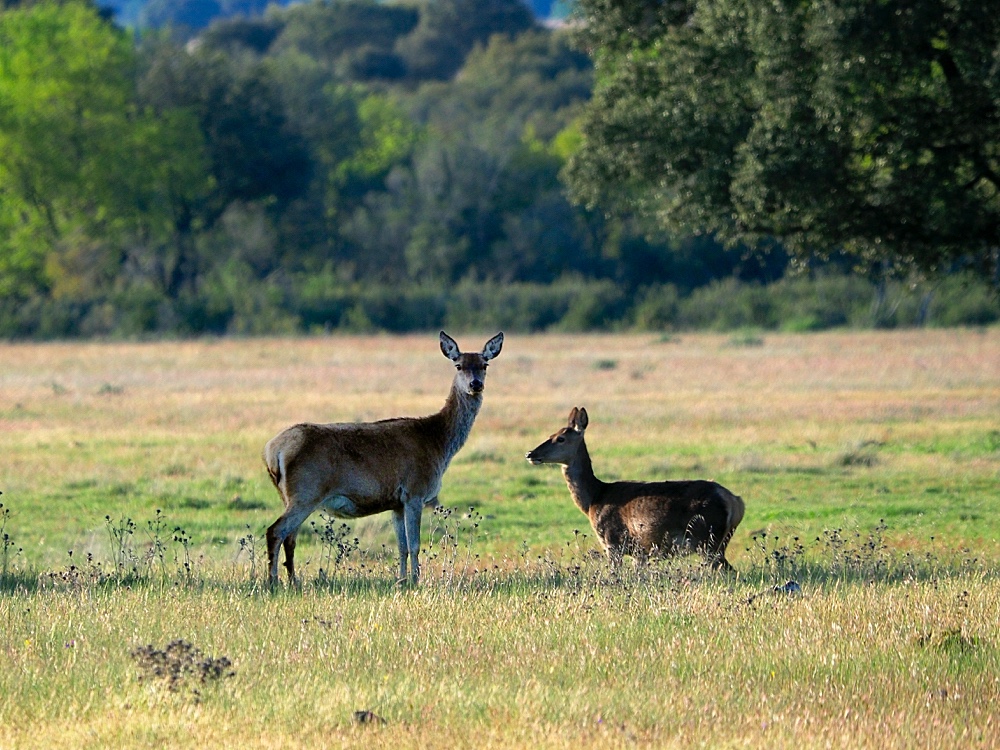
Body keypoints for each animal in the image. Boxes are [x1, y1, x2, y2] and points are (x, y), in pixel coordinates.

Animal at [262, 334, 504, 588]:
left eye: (484, 365)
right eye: (458, 365)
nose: (475, 385)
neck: (438, 443)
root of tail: (272, 450)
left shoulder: (396, 502)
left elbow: (402, 547)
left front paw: (402, 580)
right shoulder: (415, 491)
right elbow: (415, 544)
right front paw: (416, 581)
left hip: (290, 496)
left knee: (290, 537)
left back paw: (293, 581)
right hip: (306, 492)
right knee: (276, 531)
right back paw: (273, 582)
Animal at [524, 408, 744, 572]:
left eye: (560, 438)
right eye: (551, 434)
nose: (530, 453)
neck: (594, 499)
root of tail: (735, 501)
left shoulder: (613, 543)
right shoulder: (641, 552)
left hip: (707, 538)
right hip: (717, 540)